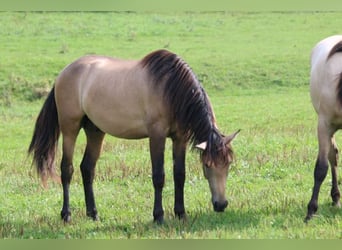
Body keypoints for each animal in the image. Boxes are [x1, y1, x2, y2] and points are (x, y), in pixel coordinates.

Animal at [28, 48, 239, 223]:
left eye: (228, 164)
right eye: (207, 165)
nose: (221, 205)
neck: (170, 89)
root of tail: (63, 74)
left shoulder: (180, 138)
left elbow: (180, 175)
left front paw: (181, 213)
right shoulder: (157, 135)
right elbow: (159, 176)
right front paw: (158, 216)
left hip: (95, 131)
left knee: (87, 169)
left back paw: (93, 214)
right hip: (69, 128)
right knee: (67, 169)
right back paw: (66, 214)